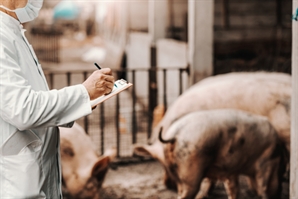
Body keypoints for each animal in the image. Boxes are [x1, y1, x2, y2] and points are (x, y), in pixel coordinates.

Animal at [157, 109, 286, 198]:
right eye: (280, 172)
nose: (279, 191)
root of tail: (175, 135)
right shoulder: (265, 164)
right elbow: (262, 188)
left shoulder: (231, 171)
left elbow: (233, 189)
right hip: (191, 169)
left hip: (177, 170)